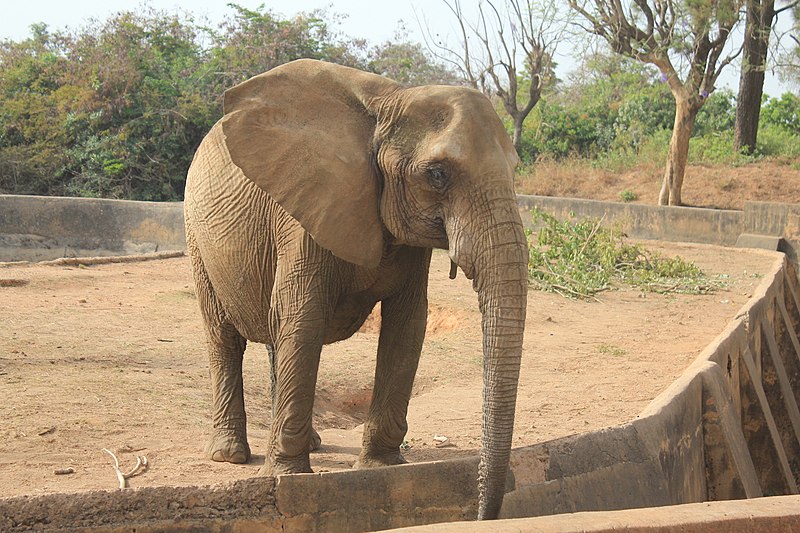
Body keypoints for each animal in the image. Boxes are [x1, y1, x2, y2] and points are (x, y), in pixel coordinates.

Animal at [184, 59, 528, 520]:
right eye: (437, 175)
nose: (484, 514)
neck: (391, 102)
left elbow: (407, 324)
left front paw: (379, 466)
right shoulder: (304, 211)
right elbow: (303, 317)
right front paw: (288, 476)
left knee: (276, 336)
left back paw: (308, 443)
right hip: (197, 235)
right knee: (225, 336)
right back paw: (230, 455)